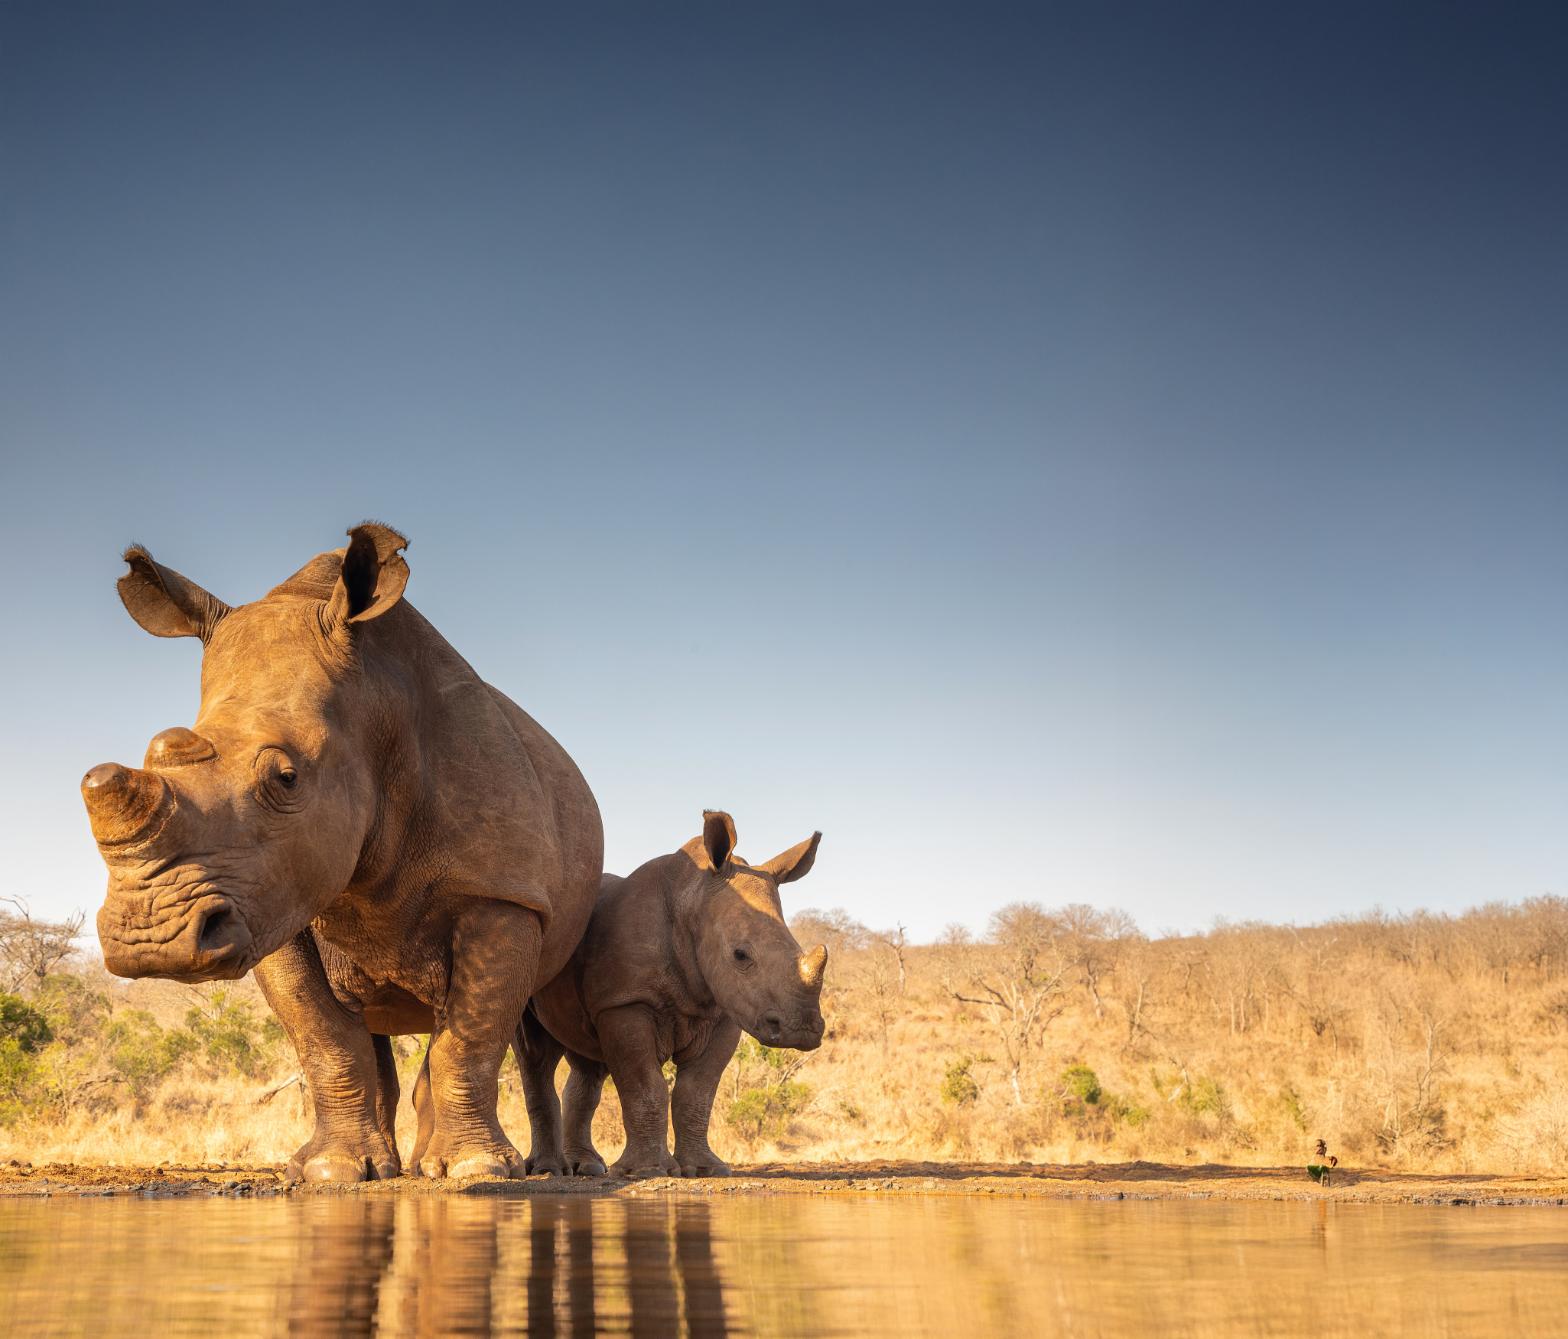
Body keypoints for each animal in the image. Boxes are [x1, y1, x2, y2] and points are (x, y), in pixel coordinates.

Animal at [80, 523, 603, 1181]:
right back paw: (395, 1167)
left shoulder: (503, 893)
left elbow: (472, 1037)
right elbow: (323, 1036)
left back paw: (510, 1170)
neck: (375, 705)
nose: (151, 940)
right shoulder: (268, 900)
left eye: (286, 778)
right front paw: (331, 1171)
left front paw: (474, 1171)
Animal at [513, 810, 826, 1178]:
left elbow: (697, 1093)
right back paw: (549, 1170)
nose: (802, 1030)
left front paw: (705, 1169)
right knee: (536, 1055)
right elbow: (645, 1086)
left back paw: (587, 1167)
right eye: (740, 955)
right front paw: (646, 1172)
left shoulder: (722, 1012)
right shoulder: (626, 1002)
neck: (692, 899)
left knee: (586, 1060)